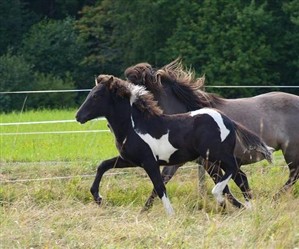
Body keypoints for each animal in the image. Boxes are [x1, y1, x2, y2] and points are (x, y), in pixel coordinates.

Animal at [76, 74, 274, 214]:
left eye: (96, 96)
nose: (78, 116)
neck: (134, 126)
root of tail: (228, 121)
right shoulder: (130, 160)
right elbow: (103, 165)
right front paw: (98, 197)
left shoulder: (149, 162)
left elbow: (159, 186)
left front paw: (170, 214)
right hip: (216, 158)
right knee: (241, 176)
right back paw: (247, 207)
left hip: (217, 155)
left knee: (234, 171)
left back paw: (221, 199)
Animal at [125, 57, 299, 208]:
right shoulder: (182, 161)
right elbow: (161, 182)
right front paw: (144, 211)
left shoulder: (210, 162)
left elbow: (227, 186)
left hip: (291, 152)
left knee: (294, 175)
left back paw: (274, 198)